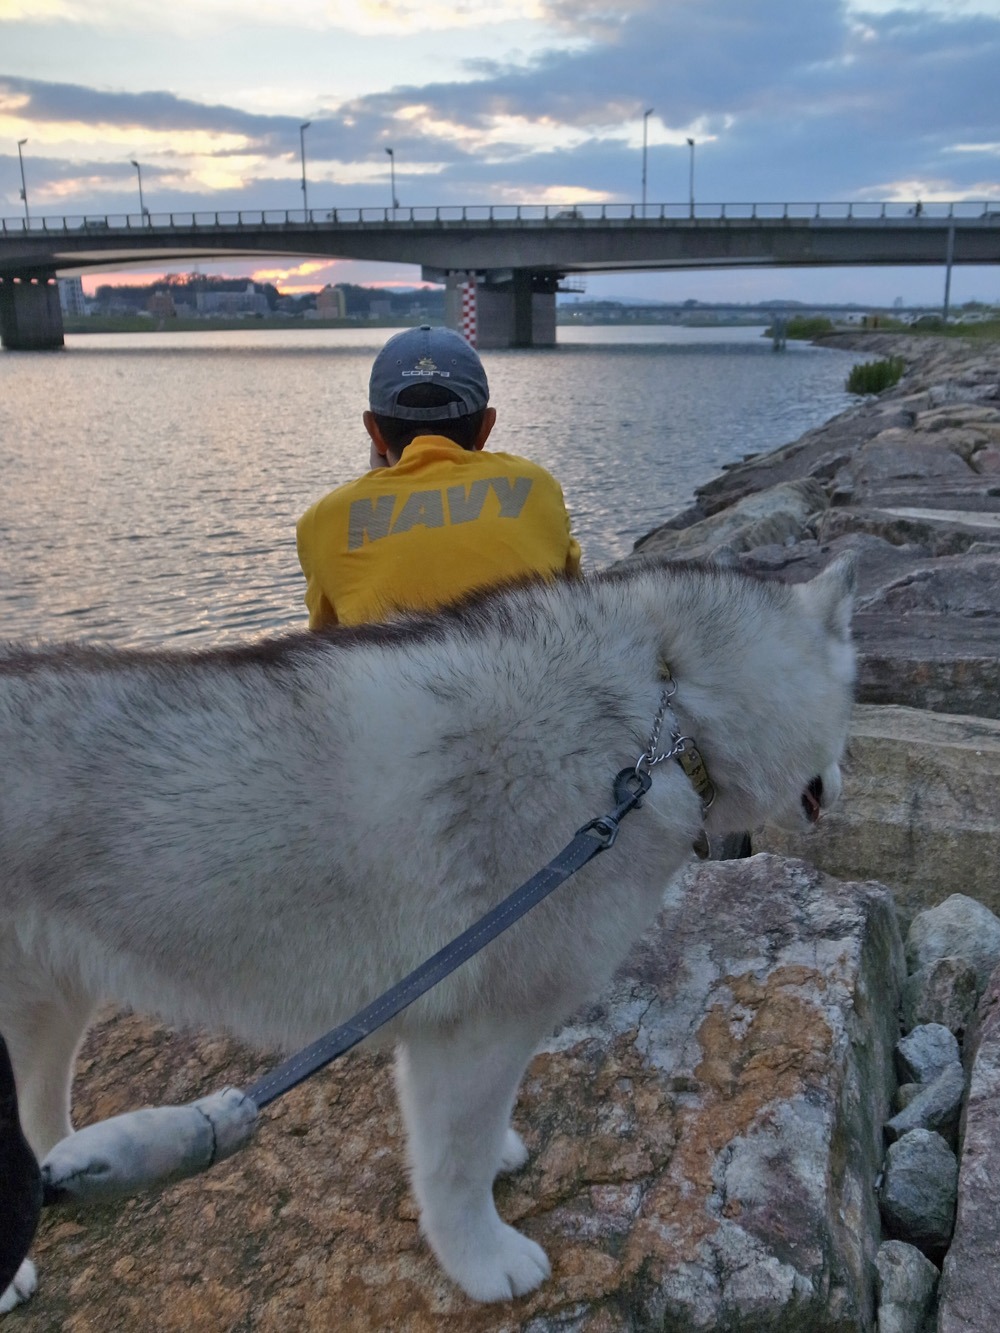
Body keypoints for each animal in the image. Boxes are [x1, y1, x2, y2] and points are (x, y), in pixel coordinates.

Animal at [1, 554, 853, 1311]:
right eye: (850, 715)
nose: (841, 788)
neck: (665, 712)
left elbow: (468, 1133)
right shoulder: (480, 1024)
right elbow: (456, 1163)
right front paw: (481, 1259)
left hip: (52, 1001)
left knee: (38, 1110)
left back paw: (72, 1168)